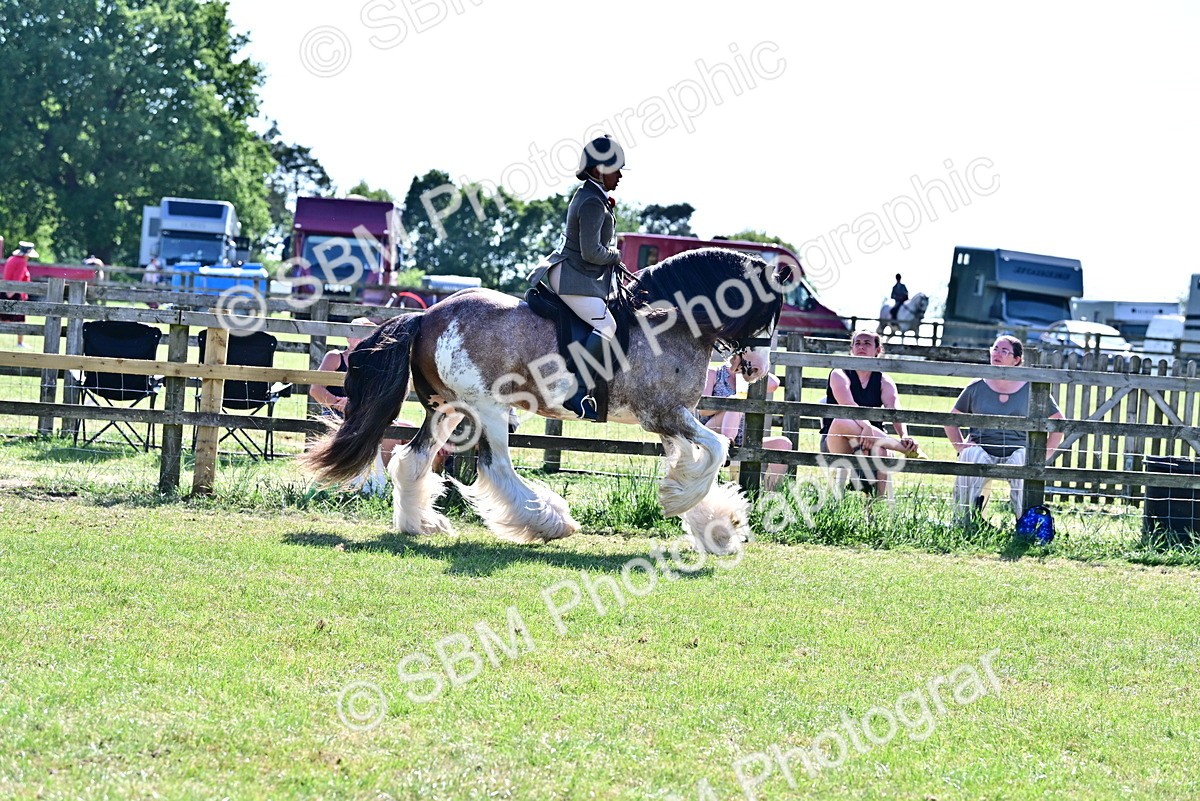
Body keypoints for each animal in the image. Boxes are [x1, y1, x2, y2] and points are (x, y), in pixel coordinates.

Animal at [300, 248, 792, 554]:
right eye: (768, 309)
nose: (757, 368)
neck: (671, 321)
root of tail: (427, 315)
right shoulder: (663, 415)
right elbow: (716, 451)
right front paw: (684, 505)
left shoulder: (672, 419)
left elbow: (696, 460)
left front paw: (714, 525)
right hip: (488, 409)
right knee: (495, 467)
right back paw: (550, 523)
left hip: (447, 408)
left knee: (411, 459)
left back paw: (418, 524)